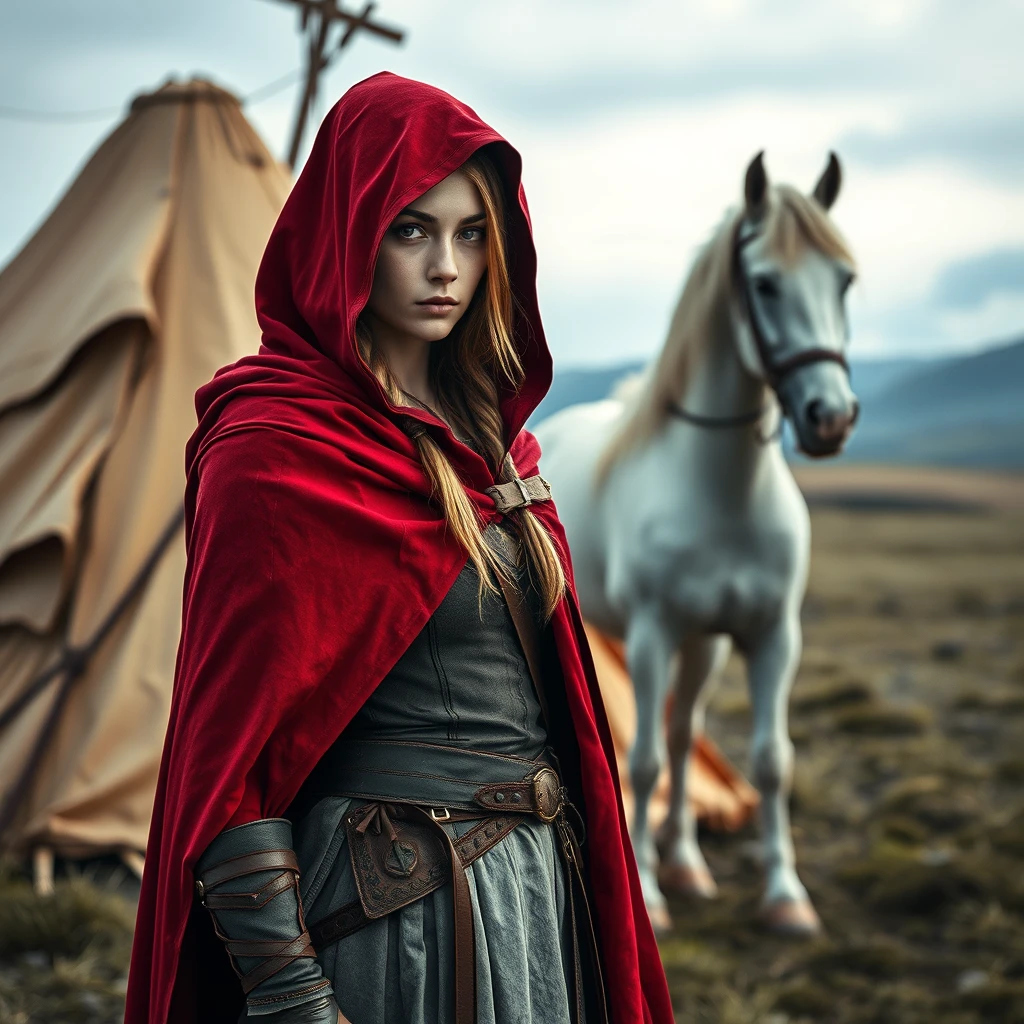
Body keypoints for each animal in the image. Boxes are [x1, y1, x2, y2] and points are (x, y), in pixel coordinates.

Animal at [532, 153, 860, 937]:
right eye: (765, 283)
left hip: (705, 643)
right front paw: (648, 896)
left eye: (844, 279)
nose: (830, 418)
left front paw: (785, 896)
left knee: (685, 731)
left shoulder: (772, 636)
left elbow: (770, 761)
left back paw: (685, 860)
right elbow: (644, 760)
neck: (724, 494)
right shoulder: (653, 635)